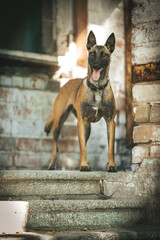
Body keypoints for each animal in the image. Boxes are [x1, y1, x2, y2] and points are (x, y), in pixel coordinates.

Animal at [44, 31, 116, 172]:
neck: (97, 88)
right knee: (56, 146)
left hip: (87, 128)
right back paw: (52, 165)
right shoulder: (81, 122)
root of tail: (65, 84)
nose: (96, 66)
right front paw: (83, 165)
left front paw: (111, 165)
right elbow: (82, 148)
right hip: (59, 124)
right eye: (92, 54)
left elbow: (110, 148)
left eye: (104, 55)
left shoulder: (110, 122)